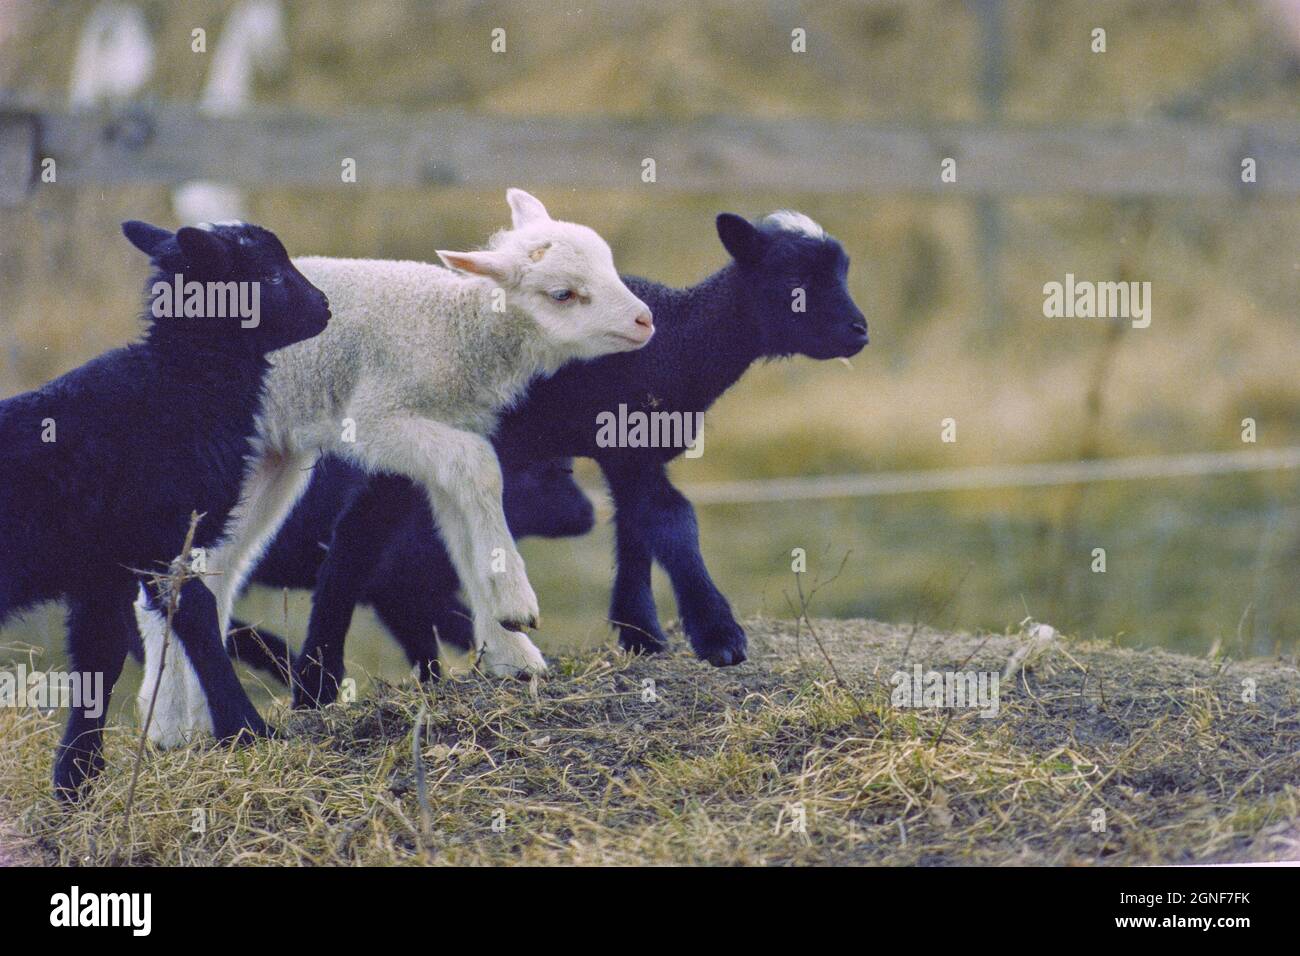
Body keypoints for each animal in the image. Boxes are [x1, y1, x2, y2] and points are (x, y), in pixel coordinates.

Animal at [137, 187, 655, 743]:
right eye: (562, 294)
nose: (645, 321)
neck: (457, 328)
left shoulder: (443, 434)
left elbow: (463, 516)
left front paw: (511, 653)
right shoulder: (378, 418)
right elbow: (481, 465)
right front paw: (517, 605)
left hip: (266, 459)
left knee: (212, 572)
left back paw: (192, 720)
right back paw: (167, 724)